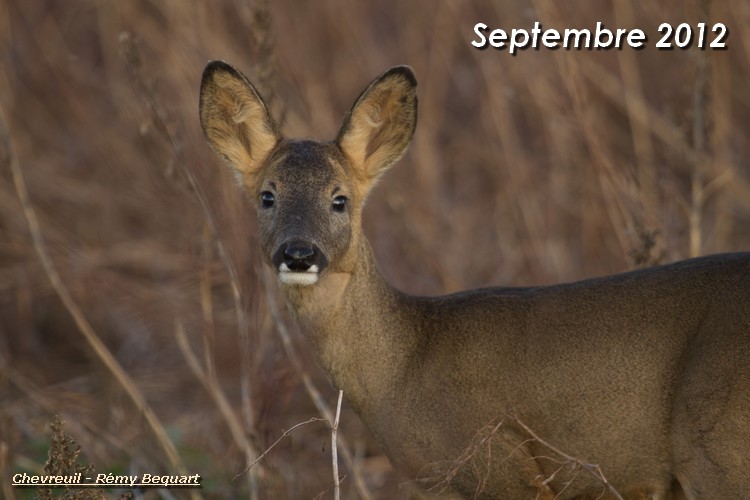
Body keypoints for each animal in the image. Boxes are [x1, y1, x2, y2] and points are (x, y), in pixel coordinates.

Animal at [200, 60, 750, 498]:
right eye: (267, 196)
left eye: (340, 199)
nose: (298, 253)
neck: (404, 365)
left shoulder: (500, 465)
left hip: (717, 451)